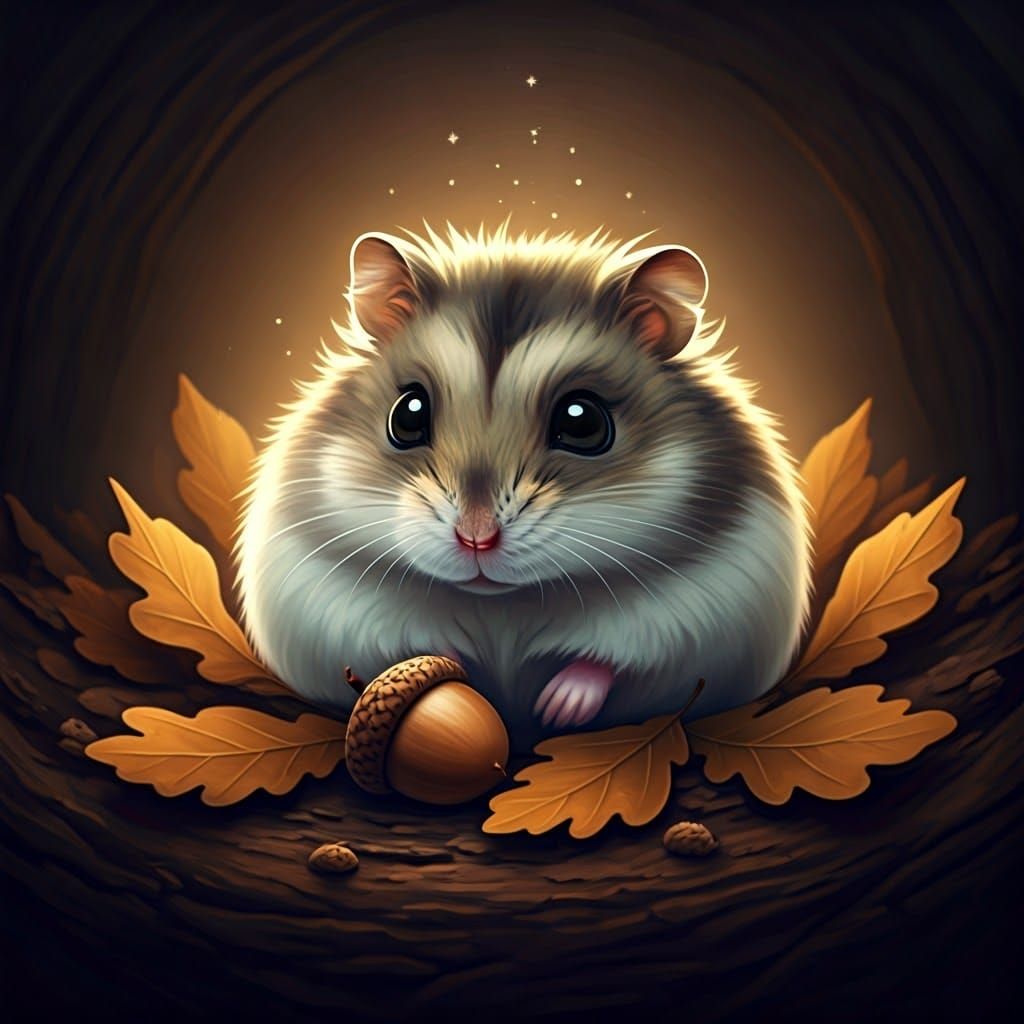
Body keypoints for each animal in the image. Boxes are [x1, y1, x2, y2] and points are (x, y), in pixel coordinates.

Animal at [236, 221, 812, 748]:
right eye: (407, 414)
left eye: (583, 422)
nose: (476, 538)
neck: (505, 604)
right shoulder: (328, 601)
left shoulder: (703, 605)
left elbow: (613, 659)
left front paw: (558, 708)